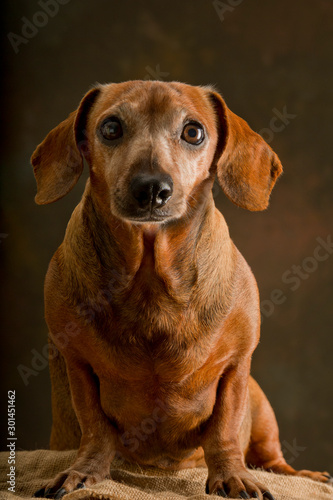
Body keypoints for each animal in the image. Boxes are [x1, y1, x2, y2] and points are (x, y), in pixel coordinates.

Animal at [31, 80, 330, 498]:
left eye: (193, 132)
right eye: (110, 128)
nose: (151, 188)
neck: (150, 275)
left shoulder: (236, 367)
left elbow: (224, 428)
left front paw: (232, 476)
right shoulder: (78, 364)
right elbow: (95, 428)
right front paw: (84, 472)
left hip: (261, 406)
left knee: (272, 458)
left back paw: (299, 474)